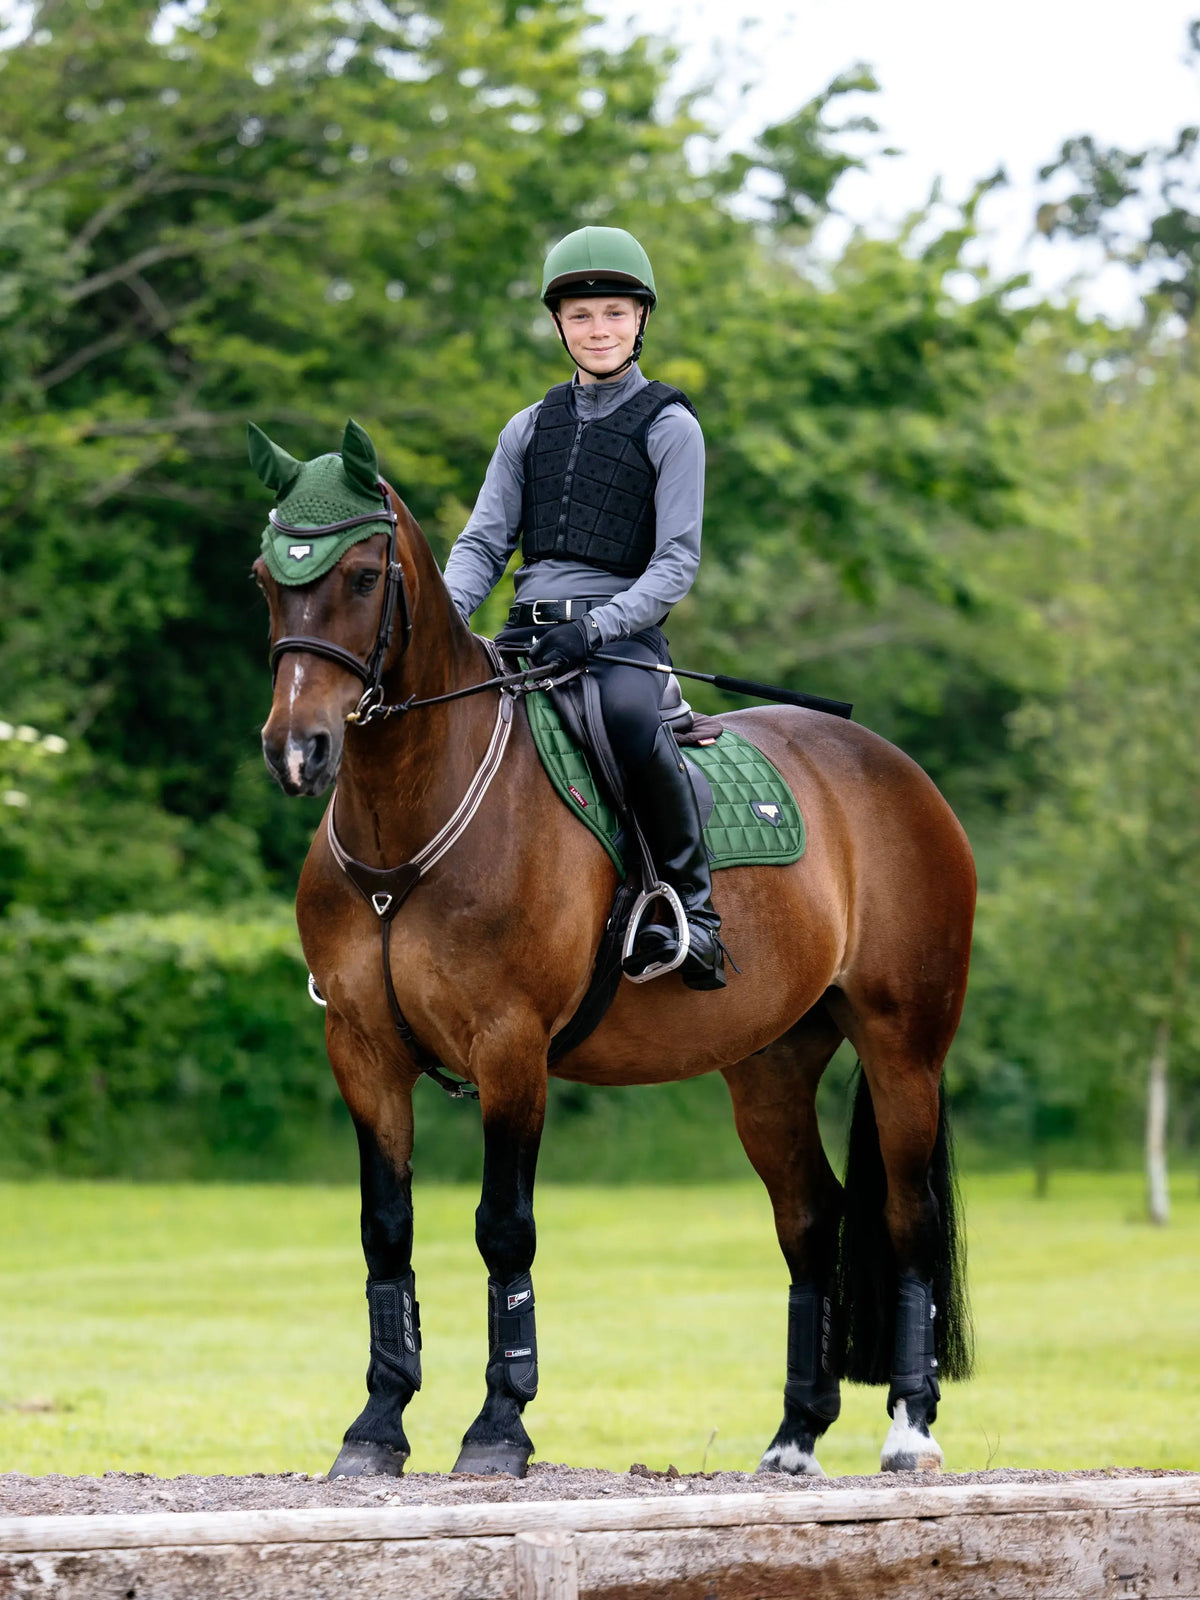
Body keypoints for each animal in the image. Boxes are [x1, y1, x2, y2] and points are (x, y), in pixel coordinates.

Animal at [250, 420, 976, 1481]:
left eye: (362, 573)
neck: (414, 817)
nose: (296, 750)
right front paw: (377, 1425)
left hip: (903, 1049)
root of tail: (898, 771)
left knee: (905, 1215)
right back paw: (794, 1437)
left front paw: (498, 1425)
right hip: (769, 1067)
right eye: (269, 576)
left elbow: (504, 1231)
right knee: (811, 1220)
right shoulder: (364, 1050)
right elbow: (387, 1232)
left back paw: (911, 1429)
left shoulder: (511, 1050)